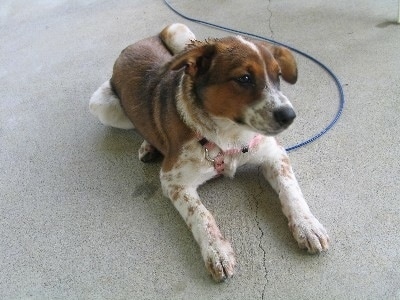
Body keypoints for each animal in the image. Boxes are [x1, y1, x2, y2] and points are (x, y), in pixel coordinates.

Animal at [89, 22, 330, 282]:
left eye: (277, 76)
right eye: (244, 78)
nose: (289, 116)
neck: (230, 137)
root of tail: (136, 43)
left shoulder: (274, 154)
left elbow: (291, 191)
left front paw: (308, 226)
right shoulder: (173, 181)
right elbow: (201, 215)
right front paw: (217, 251)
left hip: (181, 32)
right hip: (103, 107)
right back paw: (147, 145)